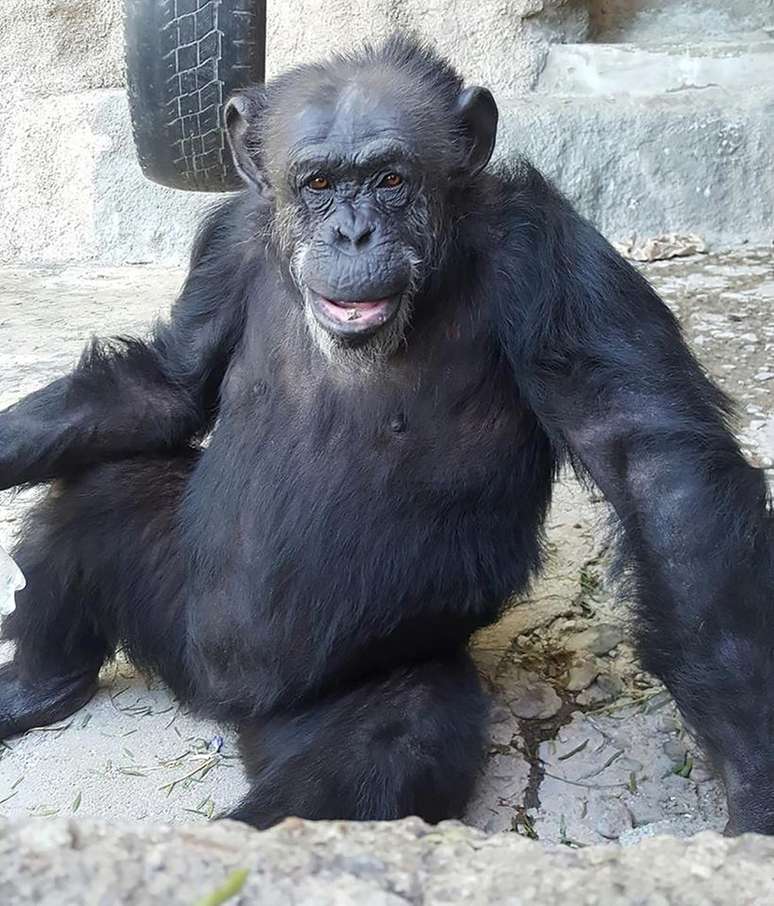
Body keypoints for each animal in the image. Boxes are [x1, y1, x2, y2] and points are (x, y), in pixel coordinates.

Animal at [1, 37, 774, 832]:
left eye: (391, 180)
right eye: (317, 183)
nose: (353, 232)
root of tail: (223, 704)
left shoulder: (550, 256)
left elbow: (652, 465)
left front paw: (753, 788)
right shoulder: (224, 244)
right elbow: (167, 384)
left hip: (359, 688)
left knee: (375, 759)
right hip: (177, 606)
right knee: (101, 492)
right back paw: (38, 683)